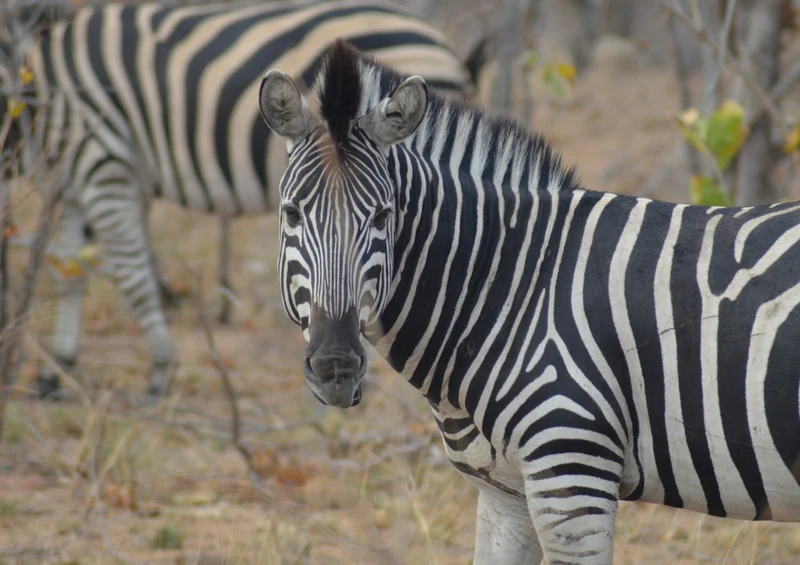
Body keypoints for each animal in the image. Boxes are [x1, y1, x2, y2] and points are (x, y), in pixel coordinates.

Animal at [1, 0, 472, 398]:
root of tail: (438, 40)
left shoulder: (106, 163)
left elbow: (133, 275)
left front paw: (160, 369)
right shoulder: (72, 182)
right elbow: (69, 272)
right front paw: (56, 370)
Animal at [259, 39, 800, 564]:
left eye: (381, 216)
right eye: (291, 213)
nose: (335, 367)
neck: (512, 290)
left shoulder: (573, 478)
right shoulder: (506, 496)